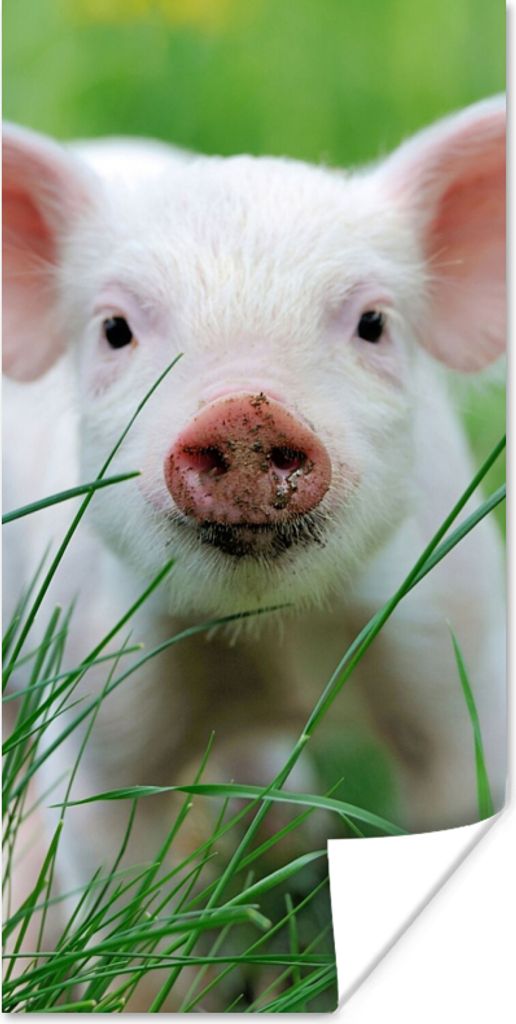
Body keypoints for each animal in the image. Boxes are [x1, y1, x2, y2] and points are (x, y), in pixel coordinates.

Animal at [2, 97, 506, 937]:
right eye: (114, 330)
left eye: (374, 322)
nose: (246, 413)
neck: (274, 636)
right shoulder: (90, 693)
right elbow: (115, 873)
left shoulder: (459, 650)